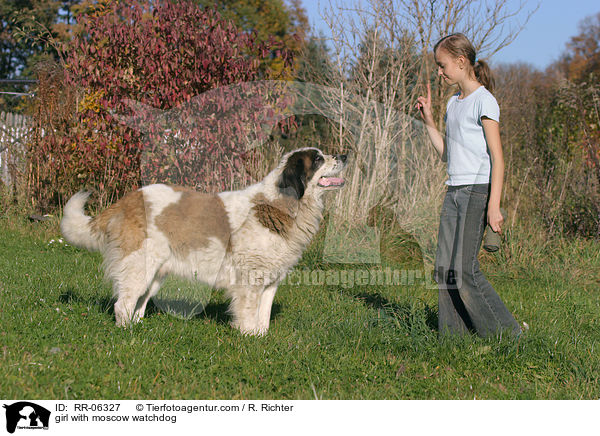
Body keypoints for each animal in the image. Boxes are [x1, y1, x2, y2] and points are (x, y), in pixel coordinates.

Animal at [59, 148, 346, 336]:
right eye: (318, 158)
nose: (344, 156)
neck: (281, 204)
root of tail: (126, 200)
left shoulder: (271, 281)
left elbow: (263, 315)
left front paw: (261, 339)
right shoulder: (249, 280)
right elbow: (249, 312)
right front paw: (249, 338)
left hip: (154, 273)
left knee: (138, 305)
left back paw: (138, 329)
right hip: (139, 267)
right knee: (123, 304)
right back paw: (126, 335)